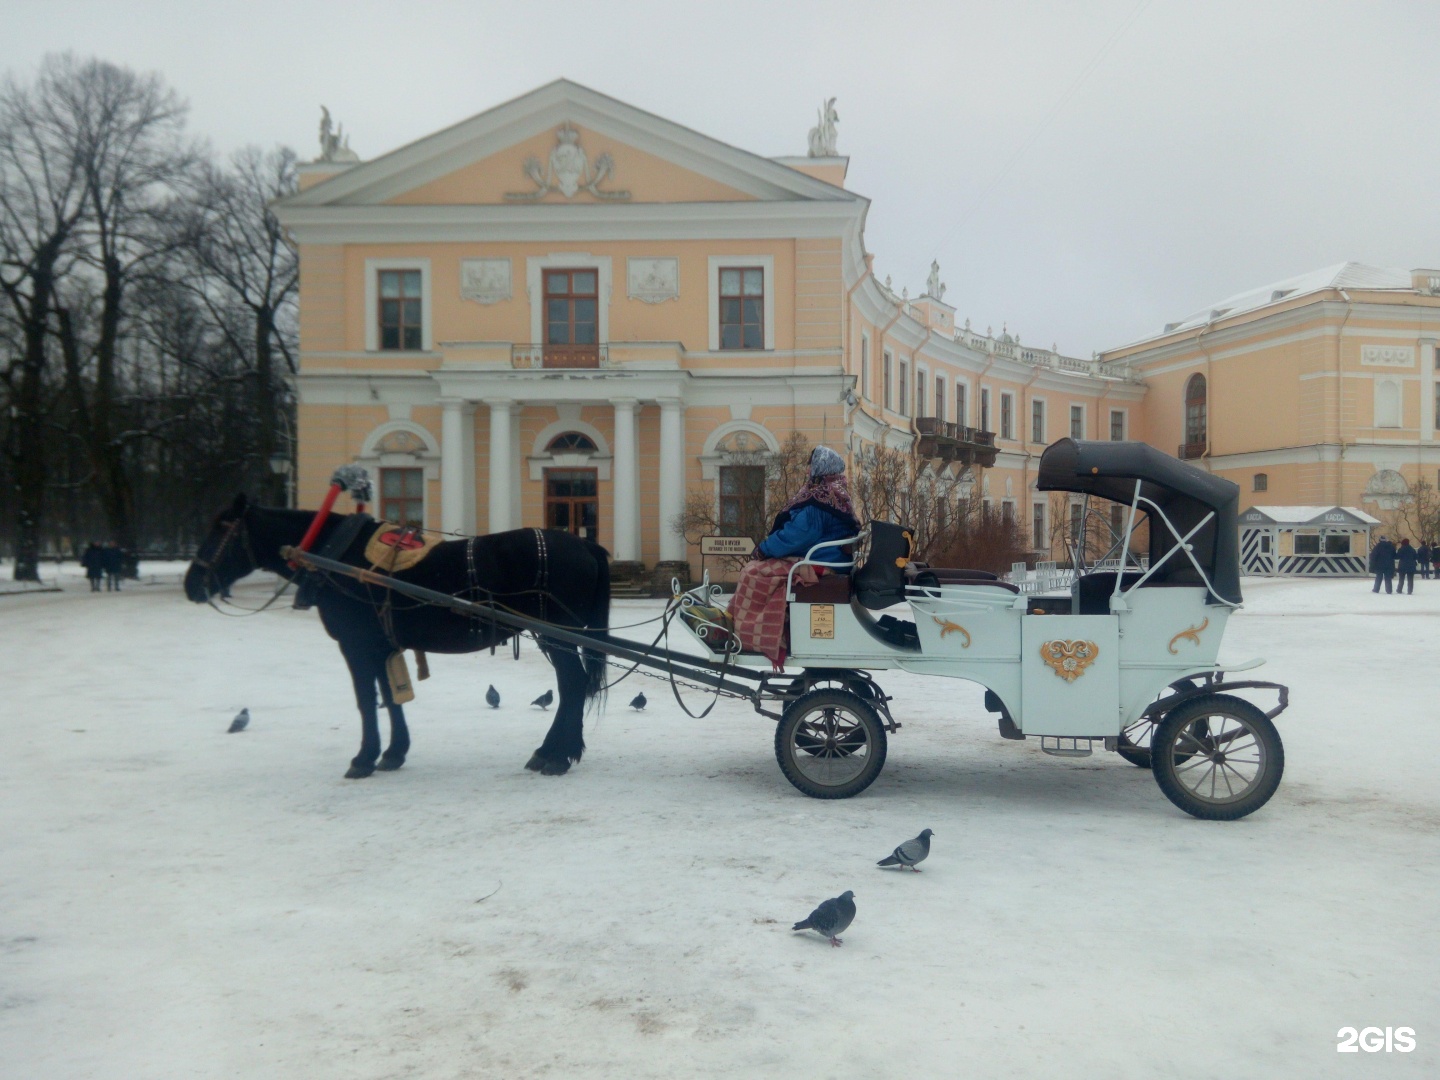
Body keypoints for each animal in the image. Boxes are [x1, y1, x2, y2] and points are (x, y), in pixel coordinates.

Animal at [182, 495, 610, 783]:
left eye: (221, 528)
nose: (192, 583)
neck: (338, 557)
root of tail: (585, 543)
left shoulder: (355, 644)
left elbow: (366, 701)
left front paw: (363, 758)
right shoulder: (381, 645)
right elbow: (389, 697)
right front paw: (393, 752)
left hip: (558, 637)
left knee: (572, 686)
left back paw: (556, 755)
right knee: (572, 687)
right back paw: (556, 751)